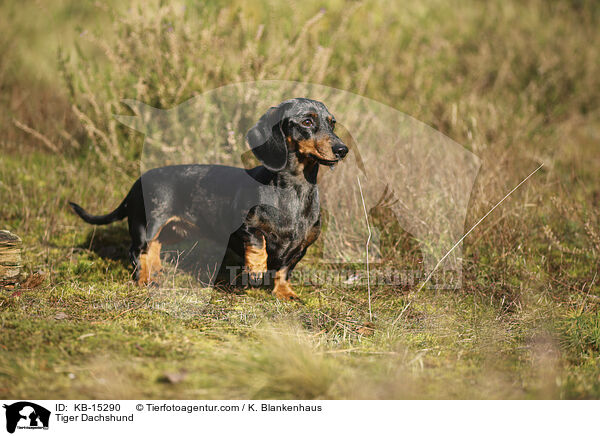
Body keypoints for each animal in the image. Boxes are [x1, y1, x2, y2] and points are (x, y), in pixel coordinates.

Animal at [71, 98, 350, 300]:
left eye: (332, 123)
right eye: (307, 121)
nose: (342, 150)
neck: (294, 191)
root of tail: (136, 183)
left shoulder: (301, 248)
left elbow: (283, 271)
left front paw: (285, 293)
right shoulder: (245, 227)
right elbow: (258, 245)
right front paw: (256, 271)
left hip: (173, 230)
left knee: (154, 248)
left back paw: (157, 272)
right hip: (147, 224)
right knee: (138, 251)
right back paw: (145, 280)